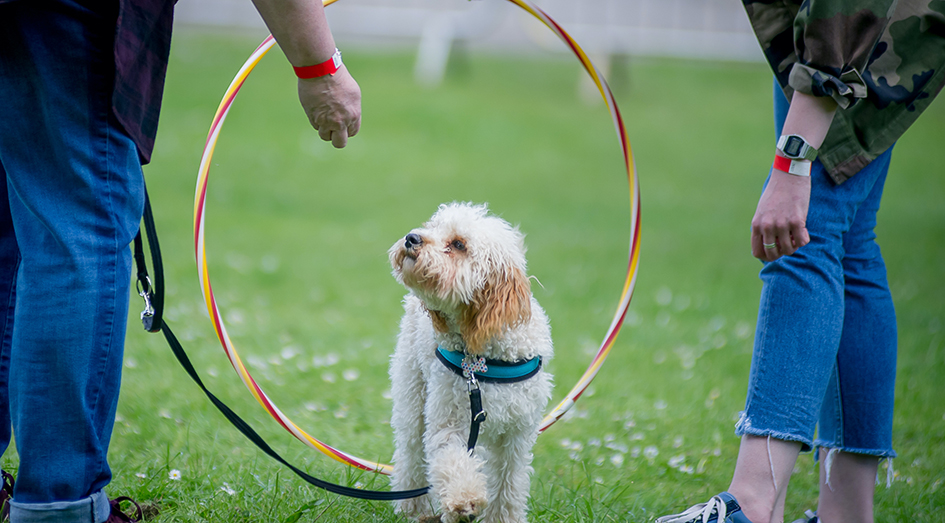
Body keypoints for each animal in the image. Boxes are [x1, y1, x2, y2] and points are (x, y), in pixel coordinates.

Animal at [388, 202, 556, 523]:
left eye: (458, 244)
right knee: (411, 453)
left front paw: (501, 517)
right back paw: (415, 509)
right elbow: (452, 459)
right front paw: (463, 500)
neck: (483, 357)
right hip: (412, 394)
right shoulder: (449, 420)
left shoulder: (517, 434)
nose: (411, 238)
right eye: (433, 227)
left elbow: (508, 483)